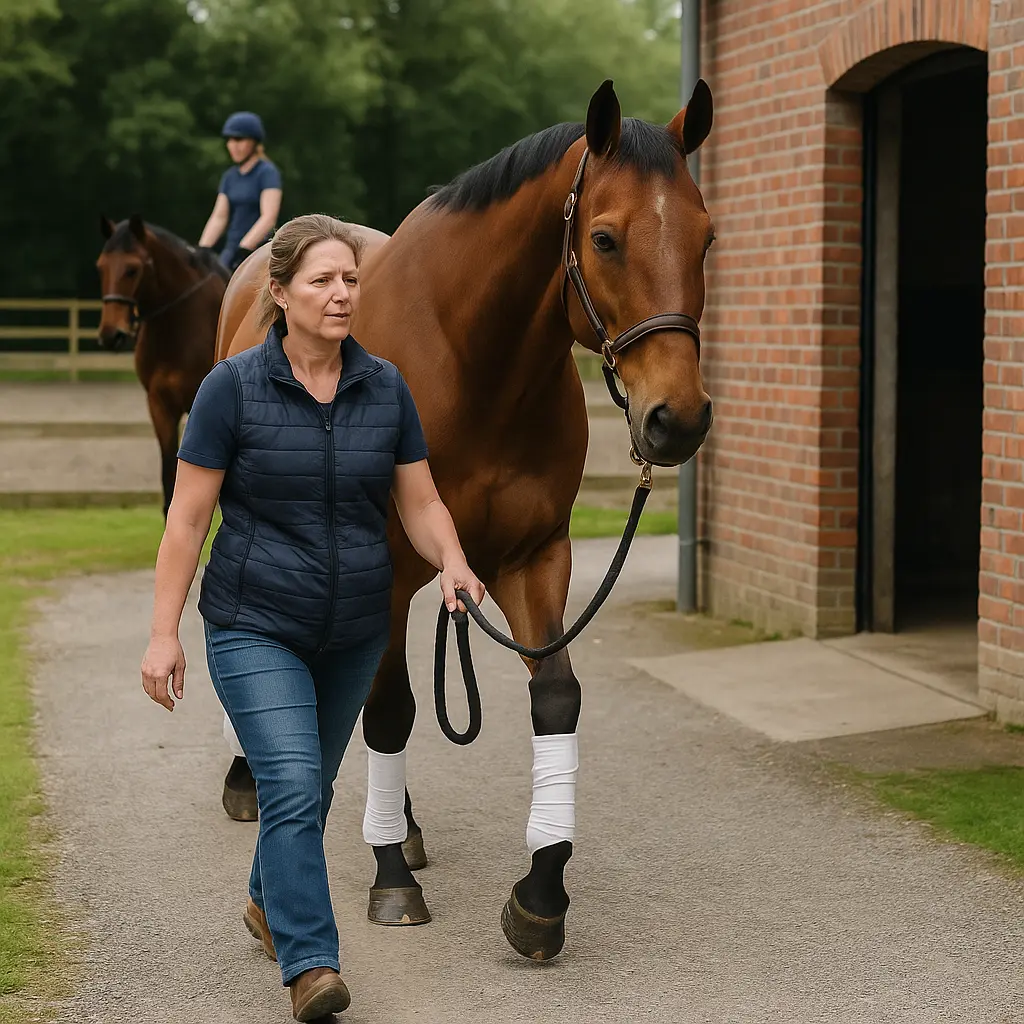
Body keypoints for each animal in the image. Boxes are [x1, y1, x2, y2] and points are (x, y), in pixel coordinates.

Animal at [214, 79, 715, 960]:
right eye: (606, 238)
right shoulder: (382, 569)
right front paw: (391, 878)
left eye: (707, 238)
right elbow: (388, 711)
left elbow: (555, 699)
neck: (473, 359)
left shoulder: (533, 559)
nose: (676, 420)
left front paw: (541, 895)